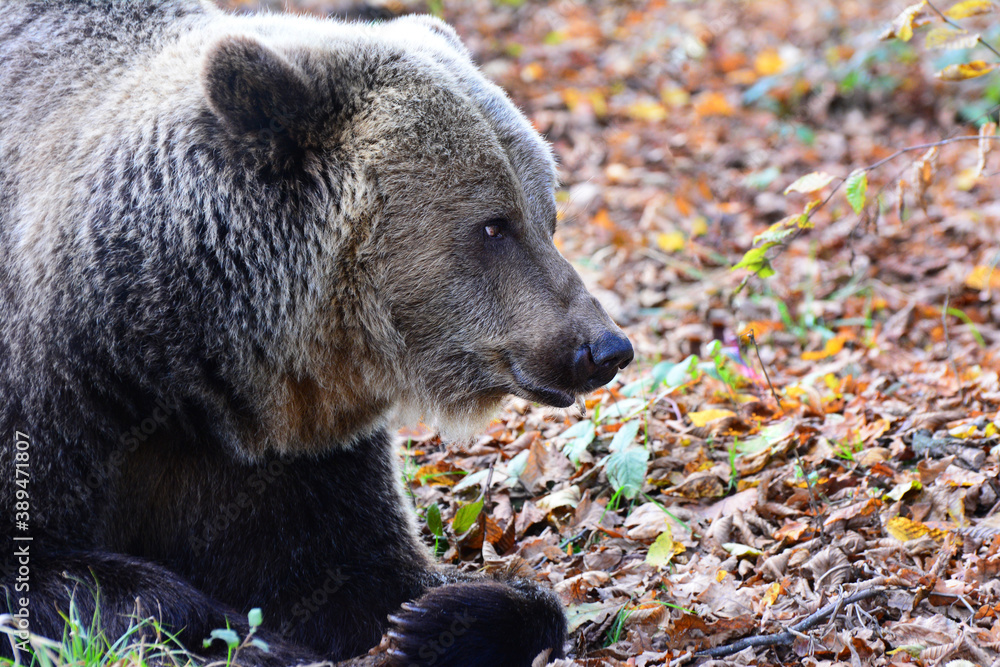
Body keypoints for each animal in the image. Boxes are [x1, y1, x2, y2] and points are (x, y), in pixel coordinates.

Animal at [0, 2, 634, 666]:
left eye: (547, 216)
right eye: (493, 225)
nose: (604, 348)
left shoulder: (289, 455)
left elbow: (350, 567)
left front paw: (438, 616)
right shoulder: (58, 400)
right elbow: (59, 575)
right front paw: (252, 639)